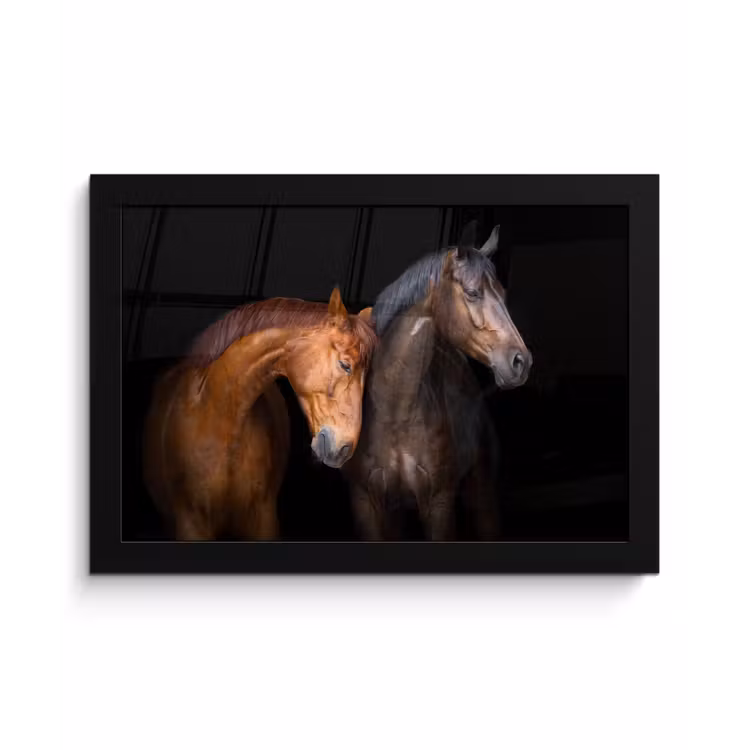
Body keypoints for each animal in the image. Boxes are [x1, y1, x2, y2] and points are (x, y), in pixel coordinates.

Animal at [344, 225, 532, 541]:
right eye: (472, 292)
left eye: (503, 294)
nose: (521, 362)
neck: (395, 412)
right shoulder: (366, 503)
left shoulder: (439, 504)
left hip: (483, 499)